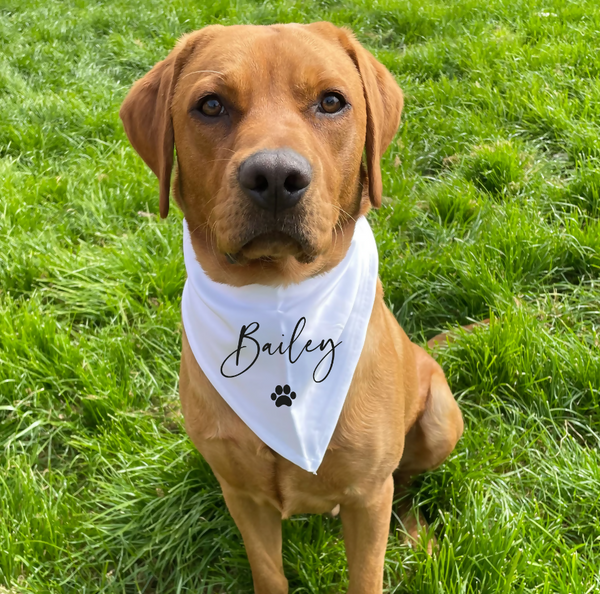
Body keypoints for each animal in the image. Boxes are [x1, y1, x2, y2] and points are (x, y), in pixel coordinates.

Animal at [119, 23, 462, 592]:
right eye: (210, 105)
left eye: (332, 101)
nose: (276, 176)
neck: (279, 303)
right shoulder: (243, 496)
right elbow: (269, 571)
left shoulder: (368, 496)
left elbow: (367, 571)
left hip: (439, 421)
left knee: (407, 481)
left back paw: (416, 534)